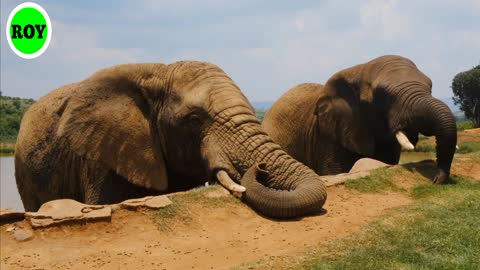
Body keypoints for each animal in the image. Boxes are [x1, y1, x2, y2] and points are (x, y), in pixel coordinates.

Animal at [264, 56, 456, 185]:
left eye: (430, 86)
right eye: (382, 96)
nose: (436, 180)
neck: (360, 69)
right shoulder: (329, 136)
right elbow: (335, 171)